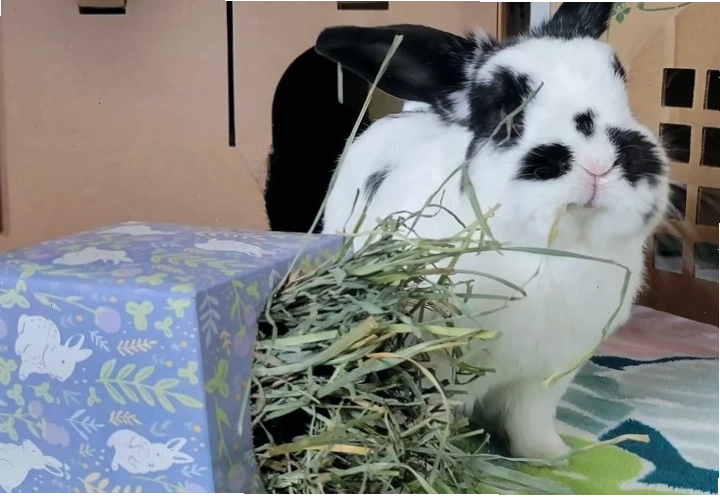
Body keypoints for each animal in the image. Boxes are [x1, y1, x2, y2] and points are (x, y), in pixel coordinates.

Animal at [314, 1, 671, 464]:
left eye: (621, 88)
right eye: (504, 110)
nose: (599, 164)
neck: (552, 251)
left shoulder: (547, 376)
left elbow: (529, 421)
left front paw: (549, 457)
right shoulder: (435, 360)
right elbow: (434, 410)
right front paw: (437, 456)